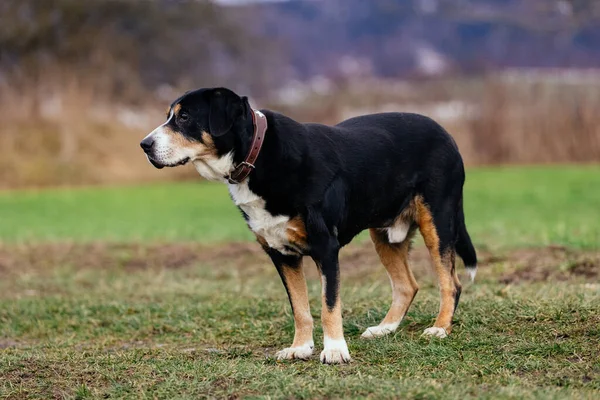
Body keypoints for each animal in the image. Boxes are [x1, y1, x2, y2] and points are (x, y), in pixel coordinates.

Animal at [142, 89, 478, 364]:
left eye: (184, 116)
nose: (144, 145)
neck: (257, 157)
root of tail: (445, 132)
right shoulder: (281, 254)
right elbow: (300, 309)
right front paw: (300, 348)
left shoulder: (325, 248)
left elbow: (329, 305)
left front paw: (335, 351)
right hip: (384, 235)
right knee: (407, 285)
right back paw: (385, 329)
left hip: (437, 221)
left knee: (451, 282)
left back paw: (439, 328)